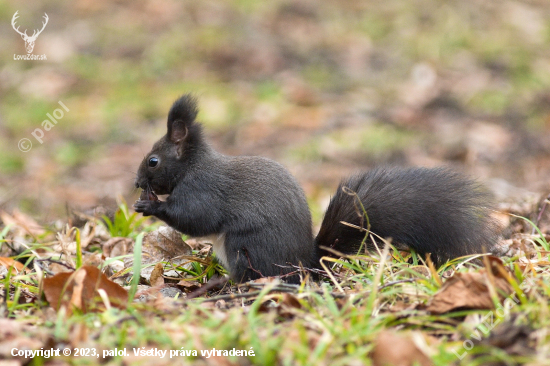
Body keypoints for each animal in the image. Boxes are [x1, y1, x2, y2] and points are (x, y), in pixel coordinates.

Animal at [135, 94, 500, 284]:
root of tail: (307, 263)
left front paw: (151, 206)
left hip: (244, 245)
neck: (191, 166)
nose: (137, 183)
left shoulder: (204, 189)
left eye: (153, 161)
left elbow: (196, 219)